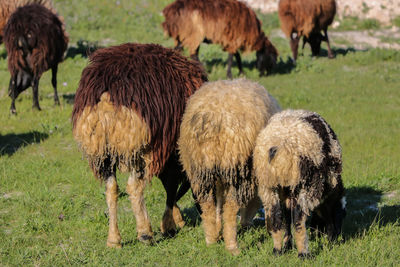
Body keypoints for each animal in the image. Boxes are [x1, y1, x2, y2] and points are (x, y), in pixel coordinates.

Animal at [72, 42, 208, 249]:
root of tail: (108, 91)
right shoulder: (169, 152)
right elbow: (170, 187)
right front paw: (168, 225)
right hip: (141, 148)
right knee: (134, 186)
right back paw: (145, 233)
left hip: (102, 151)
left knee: (111, 189)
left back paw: (114, 240)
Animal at [178, 79, 282, 255]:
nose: (247, 225)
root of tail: (214, 117)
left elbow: (219, 202)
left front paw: (218, 228)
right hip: (238, 170)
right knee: (231, 209)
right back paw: (232, 246)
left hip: (199, 170)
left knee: (207, 205)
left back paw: (211, 239)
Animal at [255, 109, 346, 258]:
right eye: (342, 214)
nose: (338, 236)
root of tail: (278, 146)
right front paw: (330, 239)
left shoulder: (286, 193)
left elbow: (286, 217)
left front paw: (287, 245)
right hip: (308, 183)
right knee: (299, 218)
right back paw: (304, 253)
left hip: (268, 186)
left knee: (276, 216)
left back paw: (277, 250)